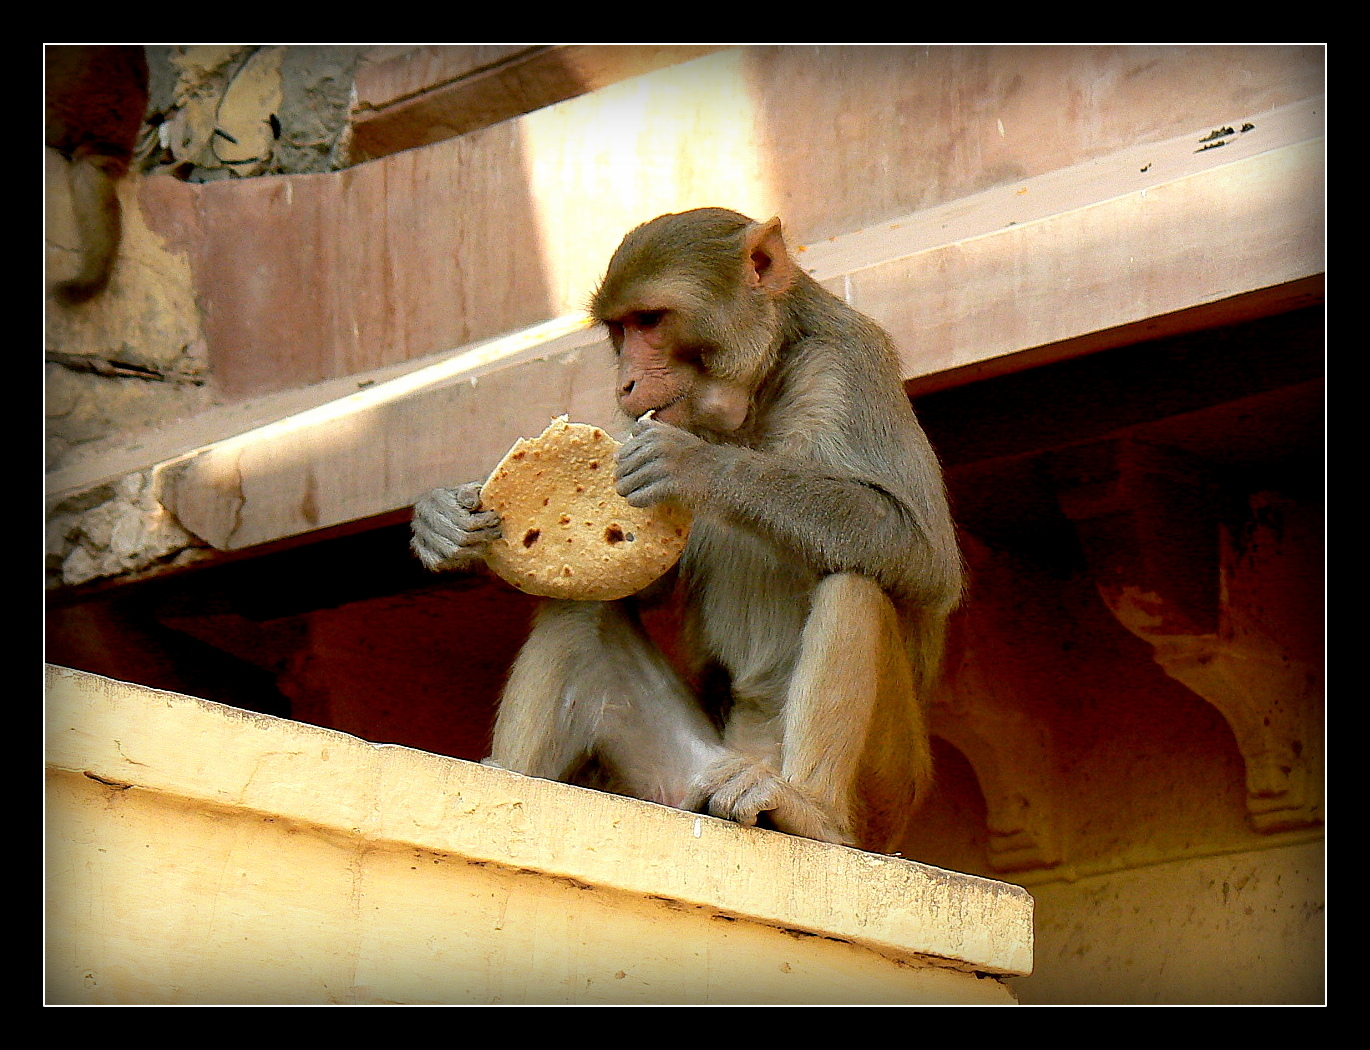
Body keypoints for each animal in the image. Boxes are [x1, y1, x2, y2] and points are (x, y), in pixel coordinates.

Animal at [411, 208, 959, 855]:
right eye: (620, 329)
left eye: (650, 320)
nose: (624, 385)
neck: (758, 393)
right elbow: (629, 584)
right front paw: (442, 521)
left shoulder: (847, 369)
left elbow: (923, 557)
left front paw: (697, 467)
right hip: (682, 777)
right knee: (580, 612)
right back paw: (505, 781)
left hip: (885, 795)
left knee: (855, 582)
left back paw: (808, 810)